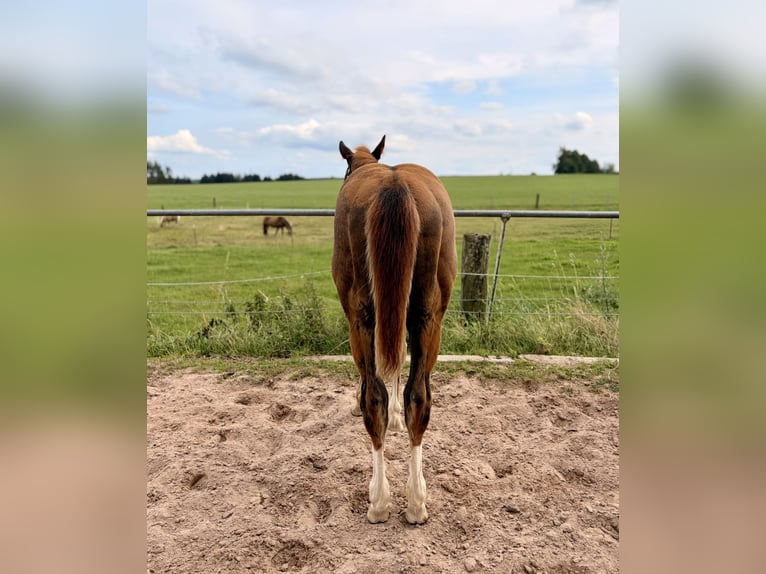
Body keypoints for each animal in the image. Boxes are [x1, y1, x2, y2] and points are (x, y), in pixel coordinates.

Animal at [332, 135, 457, 524]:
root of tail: (394, 186)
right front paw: (400, 420)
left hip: (361, 318)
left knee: (373, 399)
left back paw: (379, 503)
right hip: (428, 316)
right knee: (420, 397)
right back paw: (416, 502)